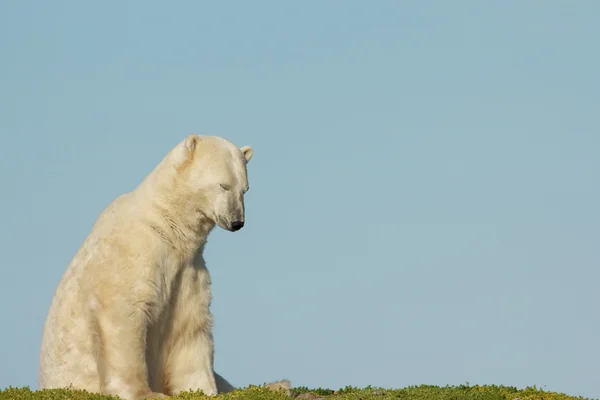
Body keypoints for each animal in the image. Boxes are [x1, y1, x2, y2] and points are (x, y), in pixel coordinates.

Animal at [38, 136, 290, 398]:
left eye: (245, 189)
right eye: (223, 185)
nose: (237, 222)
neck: (167, 224)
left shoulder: (188, 270)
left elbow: (189, 326)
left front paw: (204, 389)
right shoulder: (135, 250)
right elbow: (123, 311)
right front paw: (145, 392)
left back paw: (278, 384)